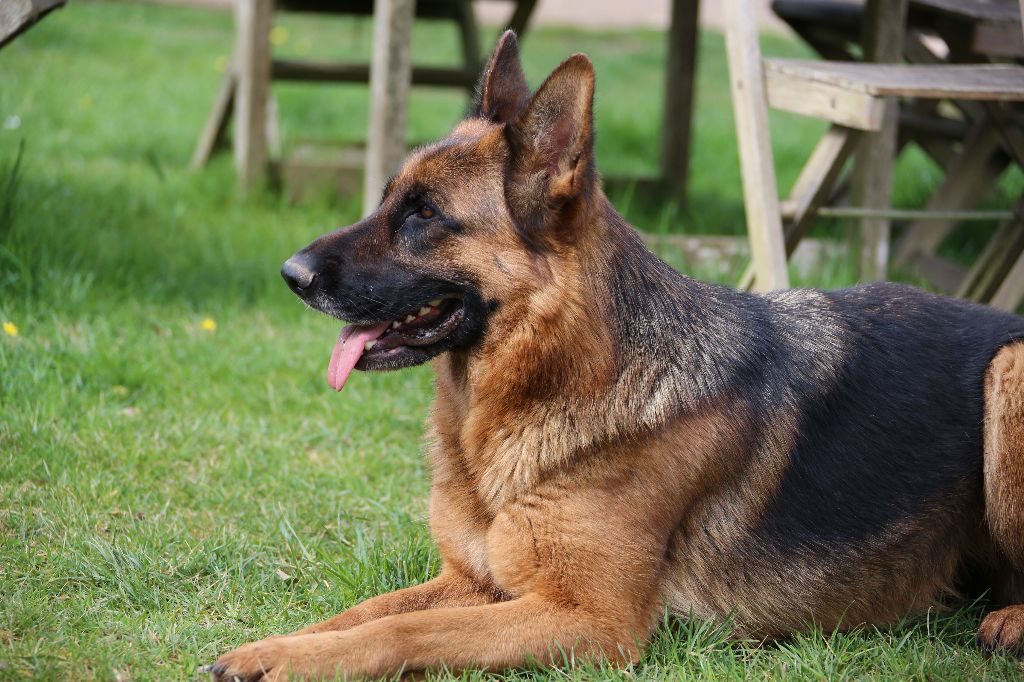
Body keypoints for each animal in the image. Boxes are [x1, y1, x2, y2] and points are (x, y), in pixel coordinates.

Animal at [211, 30, 1024, 675]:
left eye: (425, 216)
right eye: (386, 200)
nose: (290, 274)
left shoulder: (588, 619)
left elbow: (402, 633)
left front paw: (289, 660)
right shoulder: (472, 581)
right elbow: (362, 612)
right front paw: (274, 646)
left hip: (1007, 370)